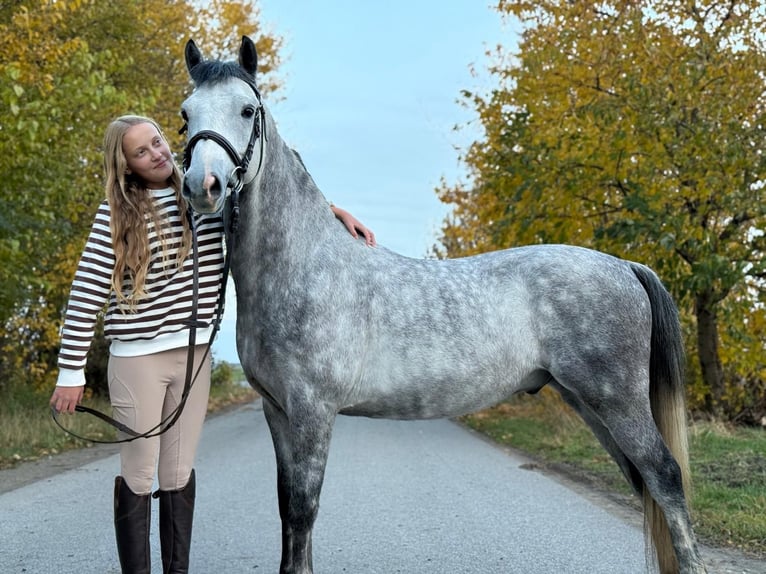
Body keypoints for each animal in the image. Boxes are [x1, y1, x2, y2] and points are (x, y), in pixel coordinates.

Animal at [180, 36, 707, 574]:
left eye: (247, 111)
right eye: (185, 114)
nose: (203, 185)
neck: (305, 265)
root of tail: (625, 266)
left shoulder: (313, 412)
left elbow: (304, 510)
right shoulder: (277, 412)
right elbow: (288, 511)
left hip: (617, 400)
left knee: (665, 478)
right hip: (589, 403)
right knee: (645, 484)